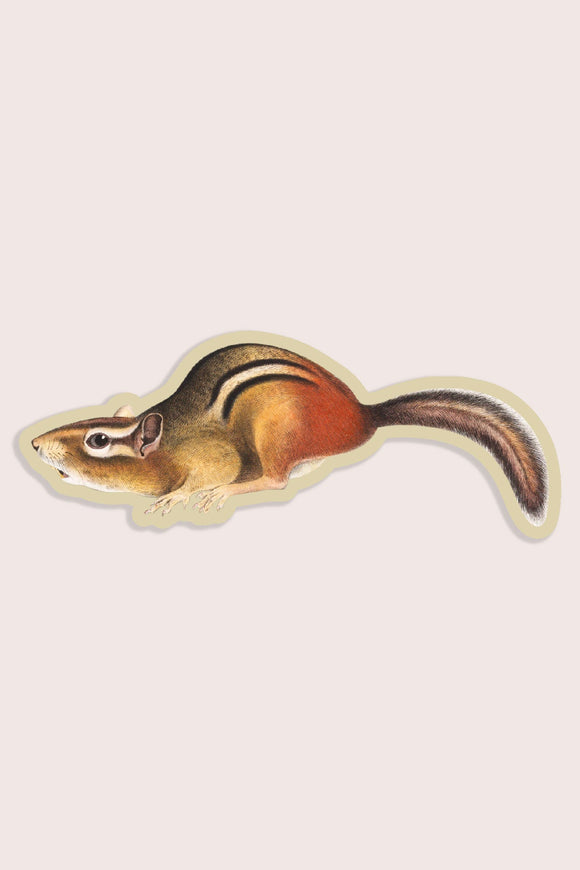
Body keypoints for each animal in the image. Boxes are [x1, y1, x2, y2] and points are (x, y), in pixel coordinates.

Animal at [31, 341, 548, 521]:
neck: (171, 443)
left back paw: (231, 491)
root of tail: (363, 417)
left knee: (275, 478)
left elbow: (206, 474)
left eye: (97, 440)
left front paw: (177, 496)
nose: (33, 443)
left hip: (276, 428)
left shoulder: (214, 456)